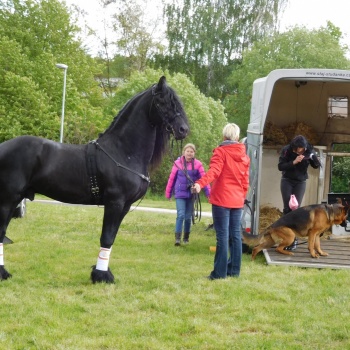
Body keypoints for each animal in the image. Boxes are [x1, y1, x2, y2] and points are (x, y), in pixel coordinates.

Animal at [0, 76, 189, 282]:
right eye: (162, 102)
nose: (183, 129)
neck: (123, 151)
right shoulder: (114, 203)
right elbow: (106, 237)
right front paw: (101, 276)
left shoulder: (125, 206)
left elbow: (111, 238)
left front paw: (103, 273)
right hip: (8, 199)